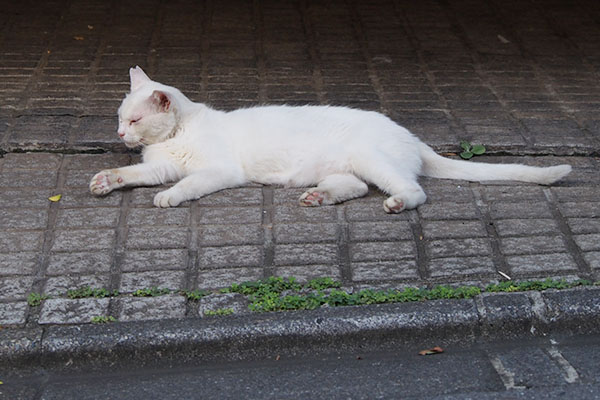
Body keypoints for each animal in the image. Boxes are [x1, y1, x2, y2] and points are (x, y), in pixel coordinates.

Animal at [89, 66, 572, 212]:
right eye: (121, 119)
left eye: (134, 119)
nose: (119, 132)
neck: (178, 134)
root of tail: (410, 135)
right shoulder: (160, 165)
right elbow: (135, 173)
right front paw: (106, 179)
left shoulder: (218, 170)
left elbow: (187, 184)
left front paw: (169, 197)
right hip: (348, 168)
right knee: (355, 186)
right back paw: (319, 196)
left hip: (373, 159)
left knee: (413, 190)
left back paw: (397, 203)